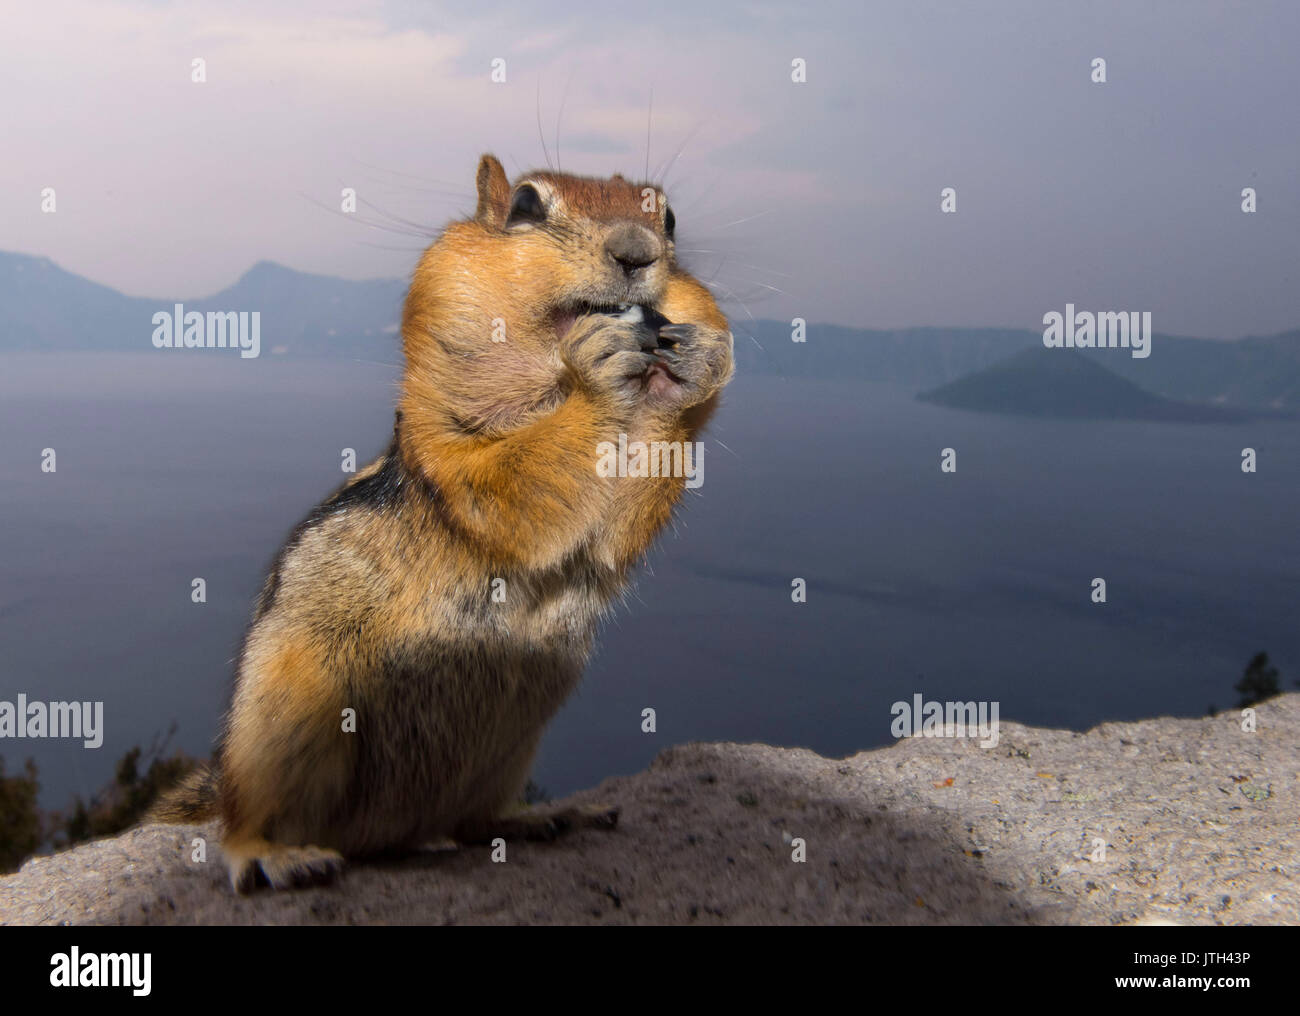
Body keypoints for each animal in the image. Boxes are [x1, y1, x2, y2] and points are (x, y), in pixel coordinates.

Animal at [152, 151, 733, 893]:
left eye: (670, 217)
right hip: (285, 719)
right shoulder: (453, 459)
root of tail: (391, 832)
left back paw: (538, 817)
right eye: (525, 204)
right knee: (247, 817)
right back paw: (272, 854)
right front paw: (595, 374)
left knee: (468, 821)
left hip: (506, 749)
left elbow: (622, 521)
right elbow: (512, 485)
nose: (637, 249)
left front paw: (694, 364)